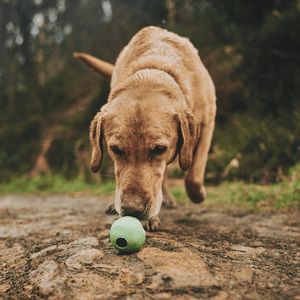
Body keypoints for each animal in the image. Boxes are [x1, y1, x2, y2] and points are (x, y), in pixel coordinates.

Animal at [74, 26, 216, 232]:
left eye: (159, 149)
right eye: (115, 149)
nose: (132, 210)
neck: (154, 68)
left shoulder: (206, 123)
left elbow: (193, 176)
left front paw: (200, 194)